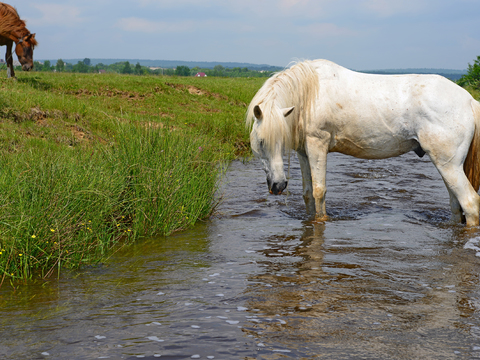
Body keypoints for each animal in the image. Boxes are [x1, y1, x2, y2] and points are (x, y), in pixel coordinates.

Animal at [246, 60, 480, 226]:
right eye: (261, 143)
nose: (278, 186)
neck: (310, 95)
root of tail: (469, 100)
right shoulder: (304, 152)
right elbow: (307, 194)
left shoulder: (317, 145)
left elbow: (319, 191)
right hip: (447, 167)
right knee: (455, 205)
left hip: (449, 165)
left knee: (470, 204)